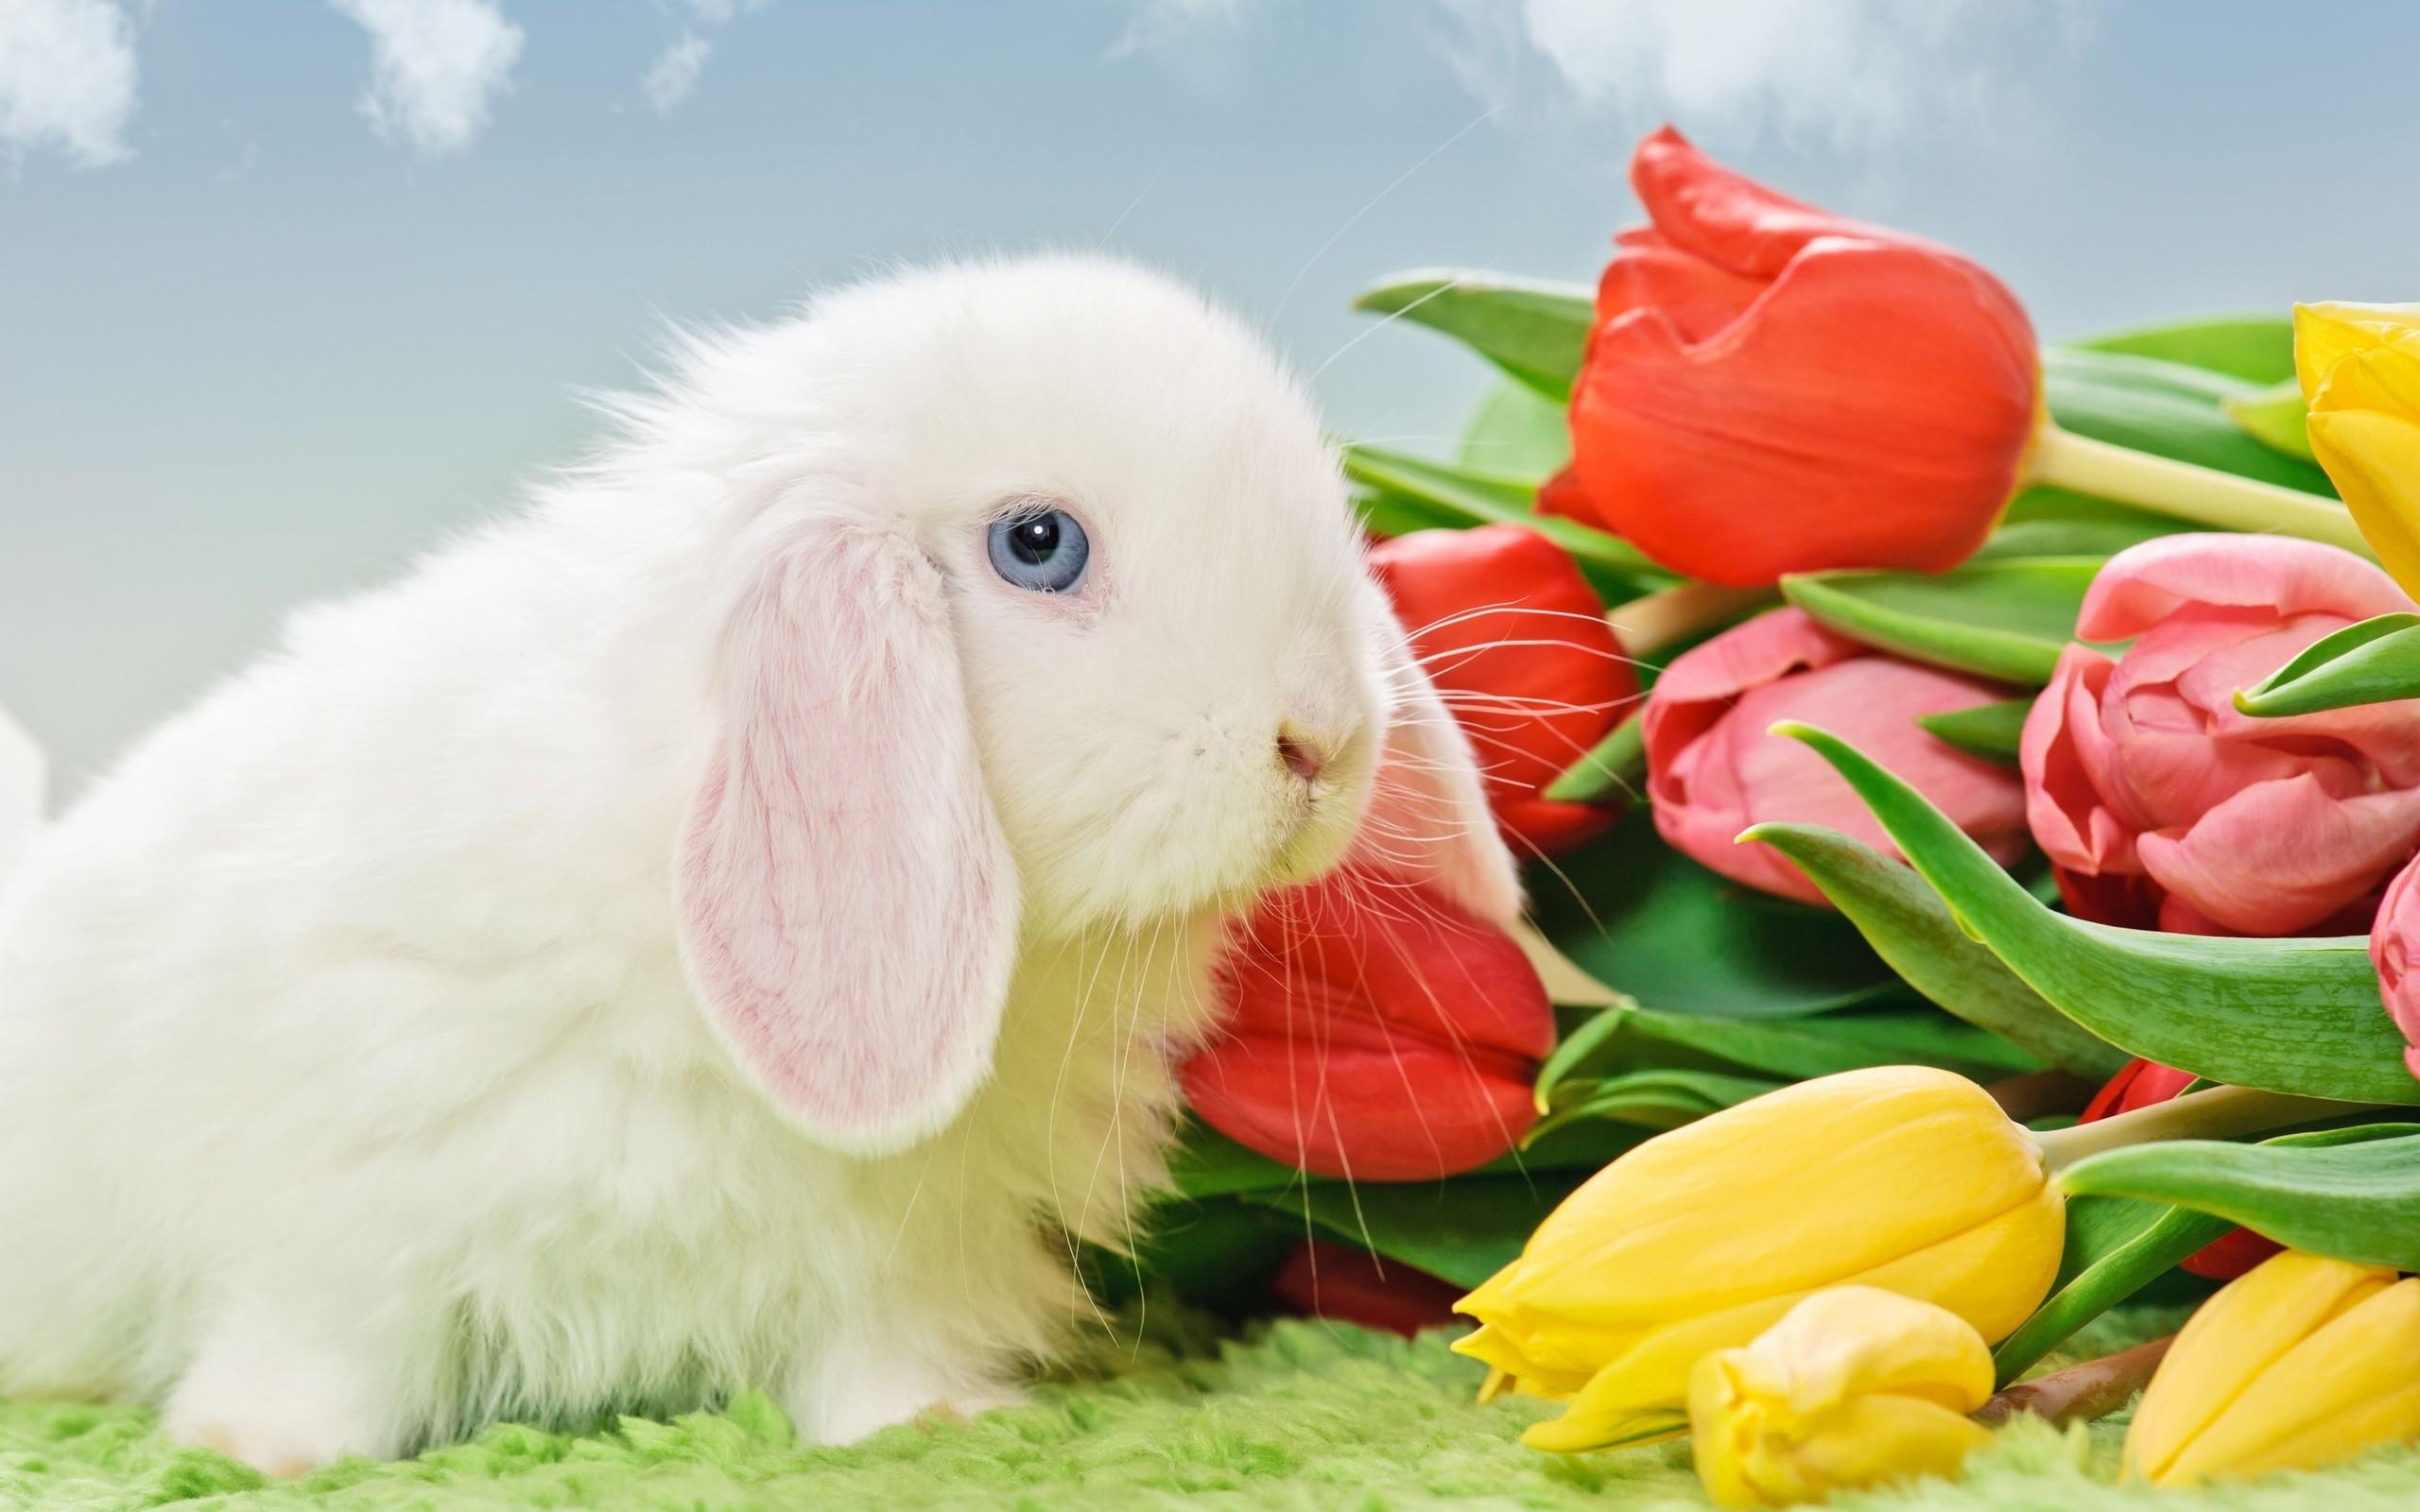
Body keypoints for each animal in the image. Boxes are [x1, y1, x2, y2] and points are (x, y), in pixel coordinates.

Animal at [0, 254, 1521, 1475]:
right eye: (1038, 544)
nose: (1325, 742)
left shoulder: (903, 1251)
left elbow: (874, 1357)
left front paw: (937, 1425)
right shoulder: (337, 1218)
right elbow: (321, 1352)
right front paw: (257, 1452)